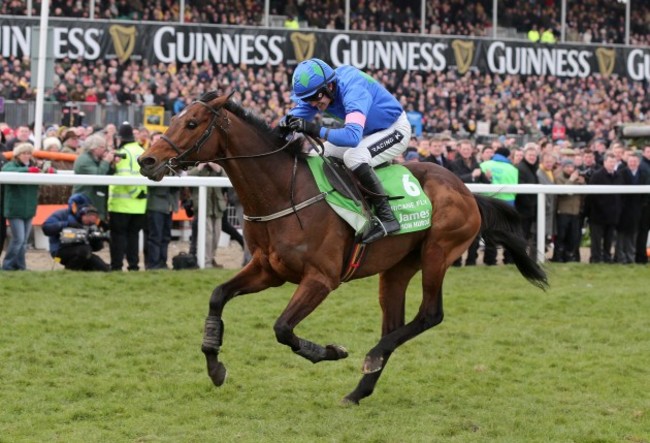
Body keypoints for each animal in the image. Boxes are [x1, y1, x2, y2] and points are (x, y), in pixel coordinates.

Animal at [138, 91, 548, 406]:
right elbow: (218, 296)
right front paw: (214, 366)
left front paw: (330, 352)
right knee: (394, 323)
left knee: (430, 314)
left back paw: (371, 357)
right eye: (175, 118)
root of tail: (466, 191)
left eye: (192, 123)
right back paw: (360, 389)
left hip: (438, 252)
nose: (146, 160)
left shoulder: (321, 279)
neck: (284, 193)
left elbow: (282, 328)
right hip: (397, 268)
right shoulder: (268, 270)